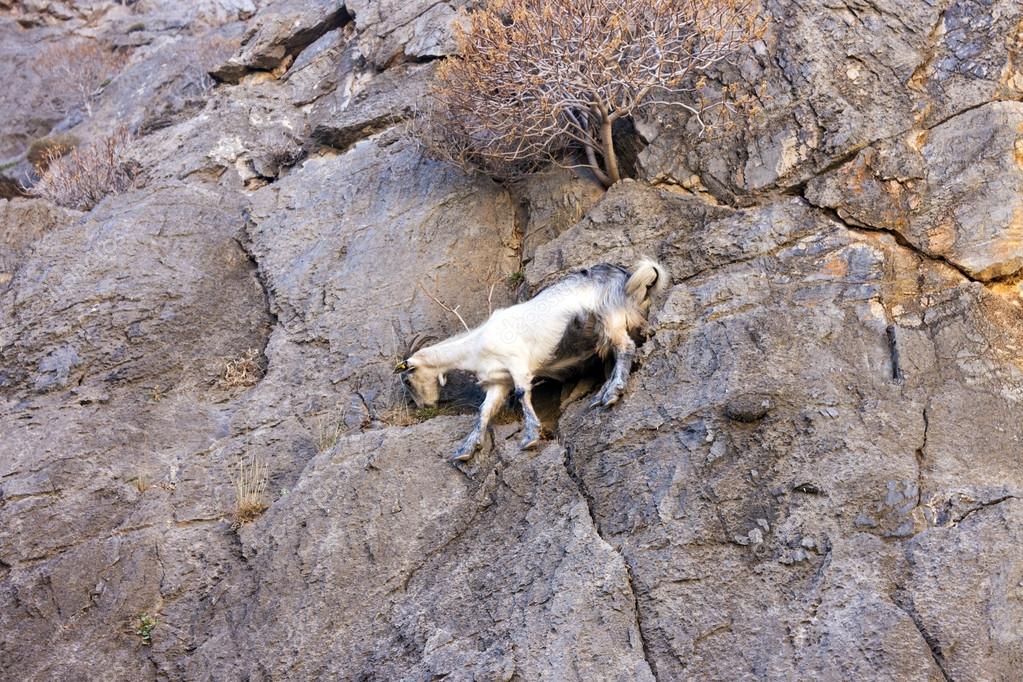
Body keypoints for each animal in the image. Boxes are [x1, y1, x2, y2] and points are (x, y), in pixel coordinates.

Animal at [395, 259, 669, 461]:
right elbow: (484, 412)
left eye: (407, 381)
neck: (477, 344)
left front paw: (529, 438)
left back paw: (612, 393)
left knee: (625, 349)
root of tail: (626, 278)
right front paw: (465, 450)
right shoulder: (498, 382)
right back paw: (601, 394)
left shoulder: (517, 364)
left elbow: (521, 394)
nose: (425, 406)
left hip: (610, 319)